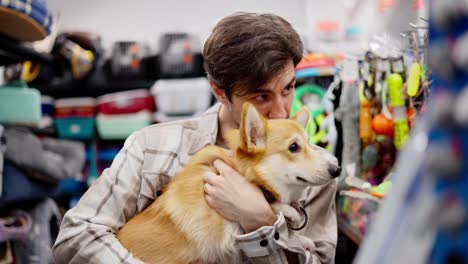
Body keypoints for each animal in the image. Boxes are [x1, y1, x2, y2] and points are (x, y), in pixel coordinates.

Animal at [117, 102, 340, 264]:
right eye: (294, 147)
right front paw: (288, 214)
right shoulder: (223, 231)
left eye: (309, 143)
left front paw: (299, 238)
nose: (337, 169)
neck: (241, 172)